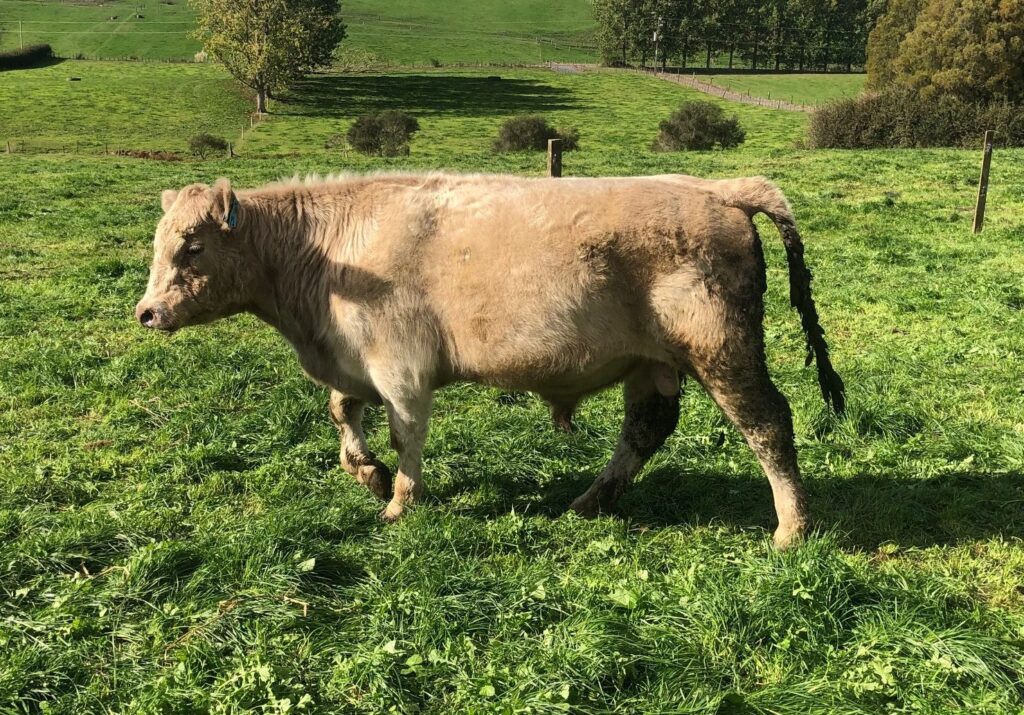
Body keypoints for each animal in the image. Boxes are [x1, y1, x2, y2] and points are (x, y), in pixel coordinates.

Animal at [135, 172, 844, 548]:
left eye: (192, 247)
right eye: (160, 243)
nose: (147, 312)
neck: (331, 257)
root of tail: (720, 188)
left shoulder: (401, 367)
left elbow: (405, 434)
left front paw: (399, 500)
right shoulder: (352, 359)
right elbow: (342, 412)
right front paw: (367, 473)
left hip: (723, 351)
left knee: (768, 425)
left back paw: (792, 528)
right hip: (651, 364)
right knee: (645, 431)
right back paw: (591, 501)